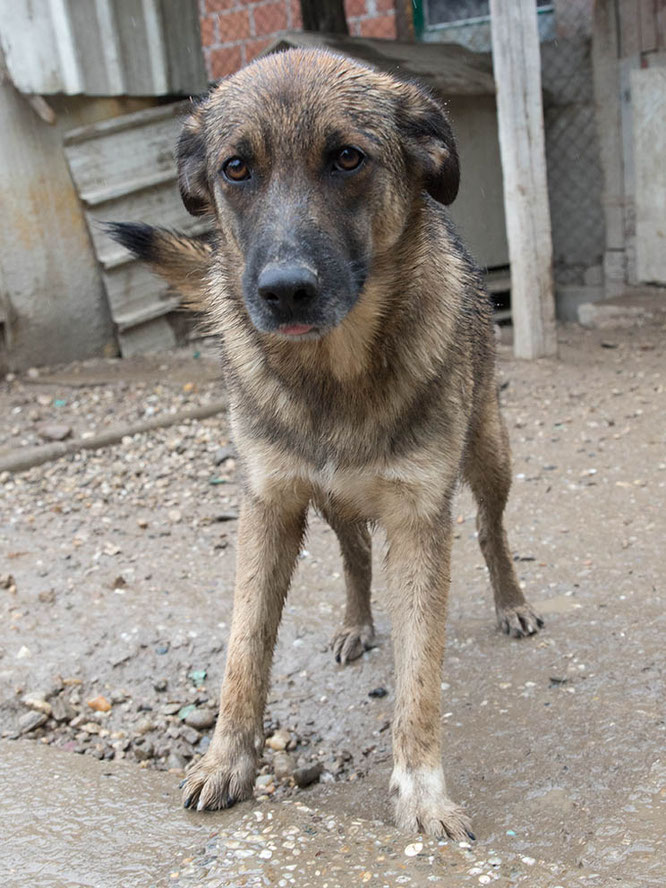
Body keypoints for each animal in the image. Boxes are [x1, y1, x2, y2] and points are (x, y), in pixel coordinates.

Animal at [107, 48, 540, 840]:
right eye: (236, 168)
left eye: (346, 158)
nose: (284, 291)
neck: (332, 378)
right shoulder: (268, 506)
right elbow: (244, 647)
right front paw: (226, 761)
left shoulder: (419, 516)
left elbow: (420, 675)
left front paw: (423, 794)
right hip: (332, 504)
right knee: (353, 559)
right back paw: (354, 623)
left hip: (490, 452)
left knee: (491, 532)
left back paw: (511, 602)